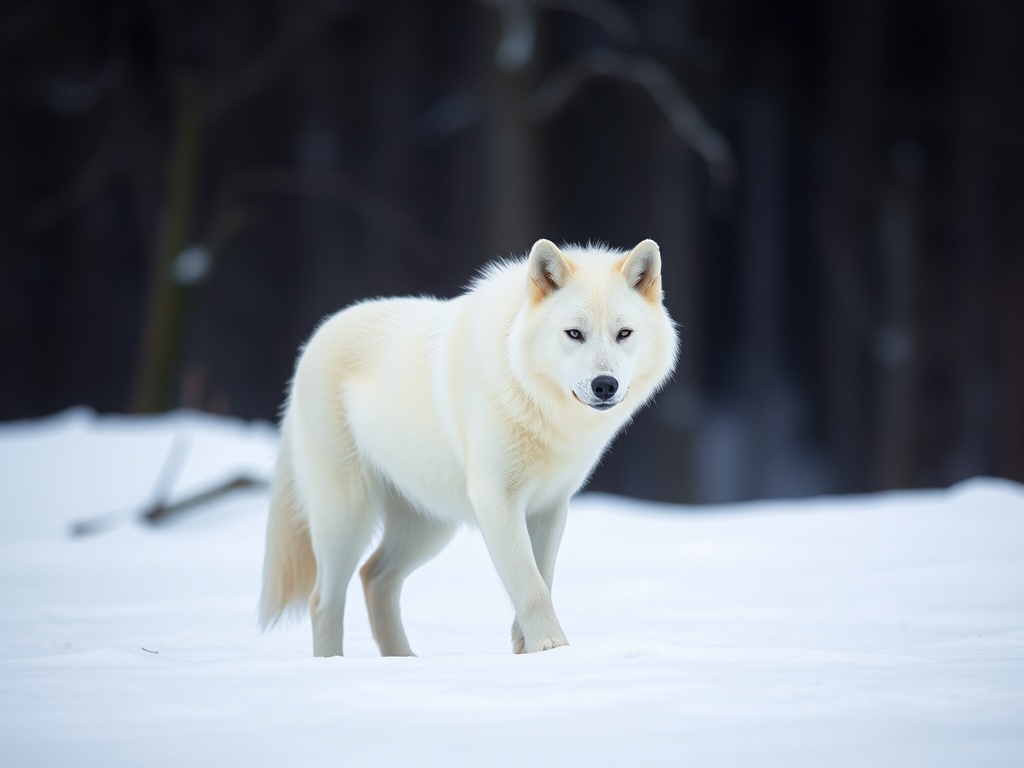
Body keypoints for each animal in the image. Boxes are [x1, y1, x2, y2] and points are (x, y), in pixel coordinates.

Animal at [259, 239, 678, 656]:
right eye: (574, 333)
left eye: (624, 333)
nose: (605, 385)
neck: (538, 405)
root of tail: (314, 338)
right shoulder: (496, 498)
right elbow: (531, 586)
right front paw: (550, 648)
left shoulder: (550, 506)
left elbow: (541, 576)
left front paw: (526, 648)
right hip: (348, 519)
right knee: (324, 600)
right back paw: (333, 663)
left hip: (428, 527)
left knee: (374, 577)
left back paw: (404, 660)